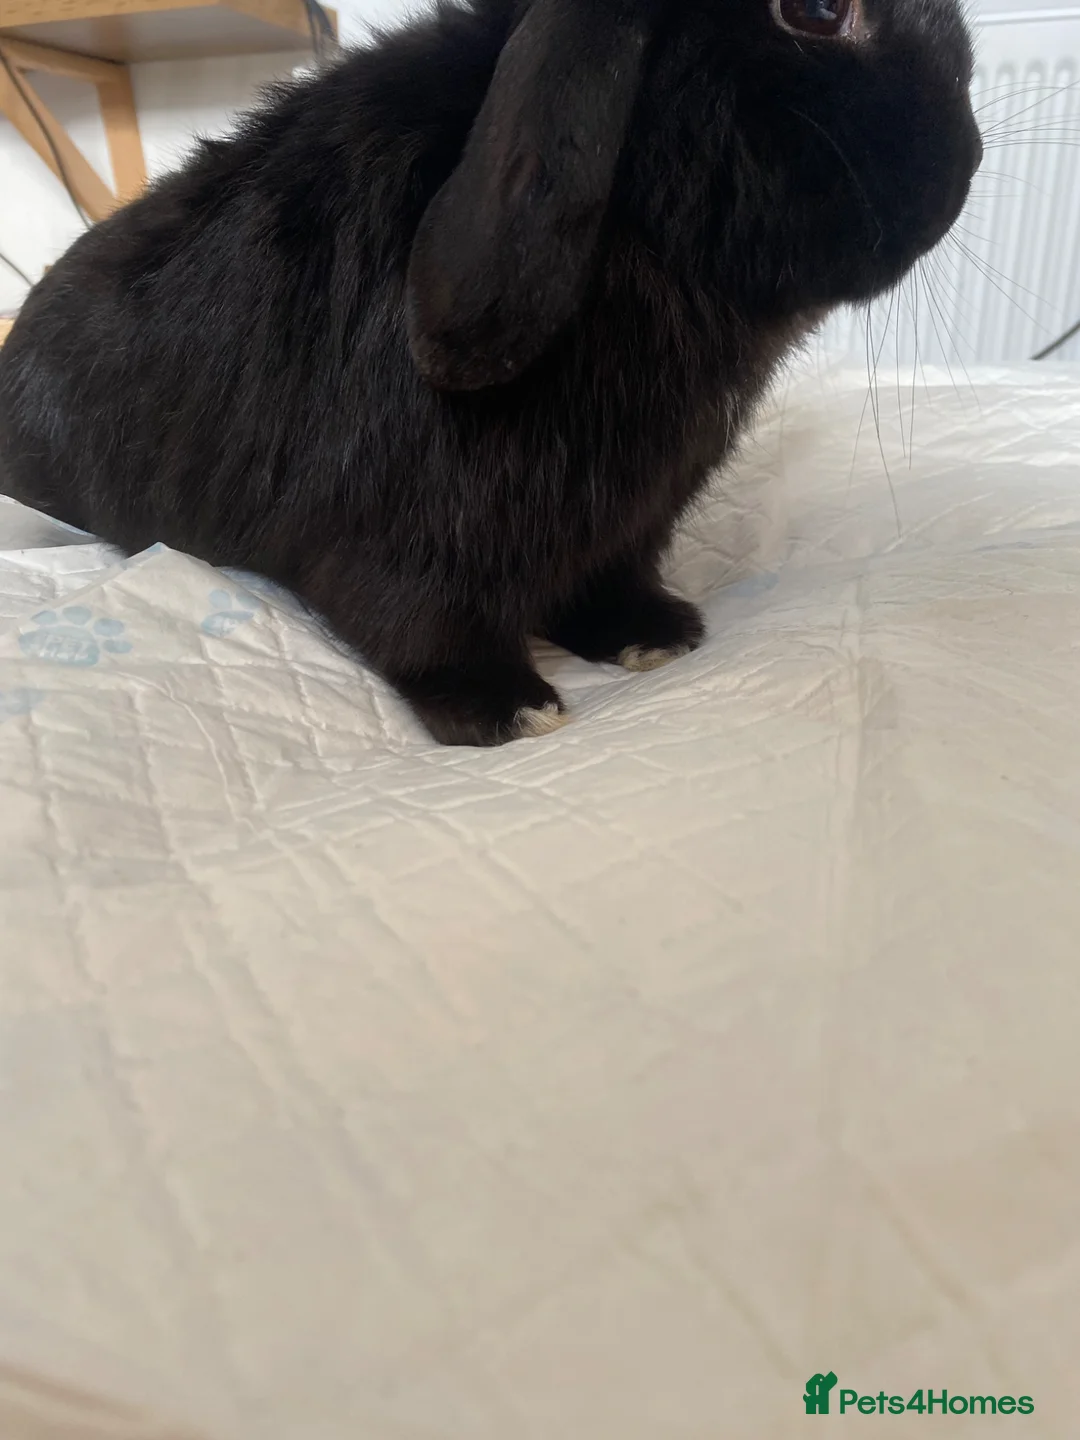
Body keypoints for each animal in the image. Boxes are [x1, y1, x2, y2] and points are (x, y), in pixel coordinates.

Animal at [0, 0, 982, 746]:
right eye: (815, 12)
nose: (968, 159)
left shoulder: (633, 523)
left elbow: (612, 582)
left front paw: (653, 637)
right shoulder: (407, 541)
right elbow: (424, 625)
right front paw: (511, 708)